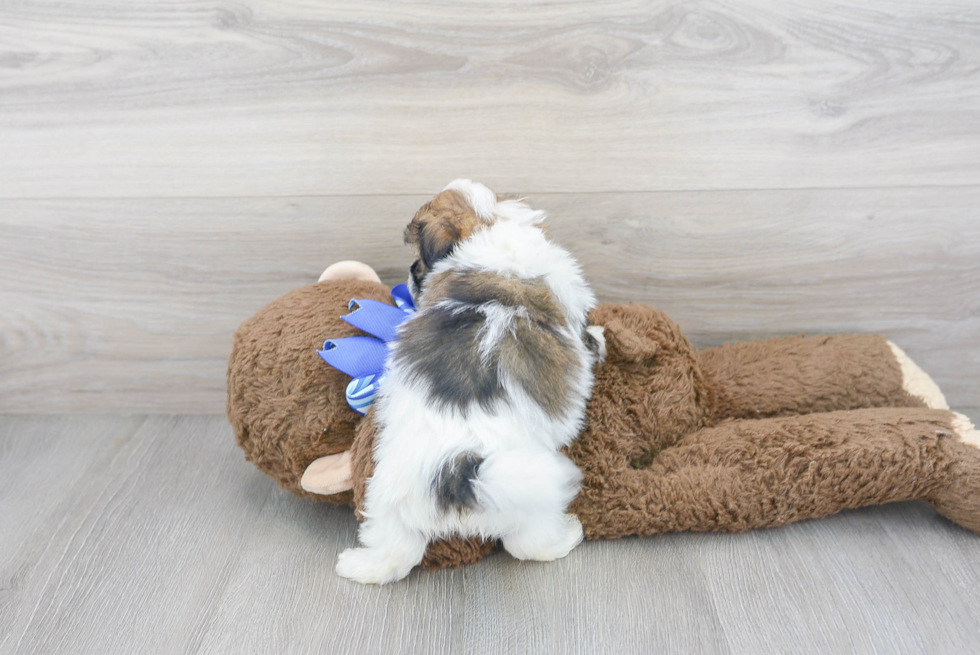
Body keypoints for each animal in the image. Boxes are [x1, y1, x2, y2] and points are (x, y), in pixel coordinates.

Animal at [336, 179, 604, 584]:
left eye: (419, 261)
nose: (410, 273)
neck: (490, 227)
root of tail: (455, 472)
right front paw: (600, 339)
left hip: (387, 498)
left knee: (394, 551)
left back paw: (358, 564)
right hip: (527, 498)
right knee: (529, 544)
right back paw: (567, 535)